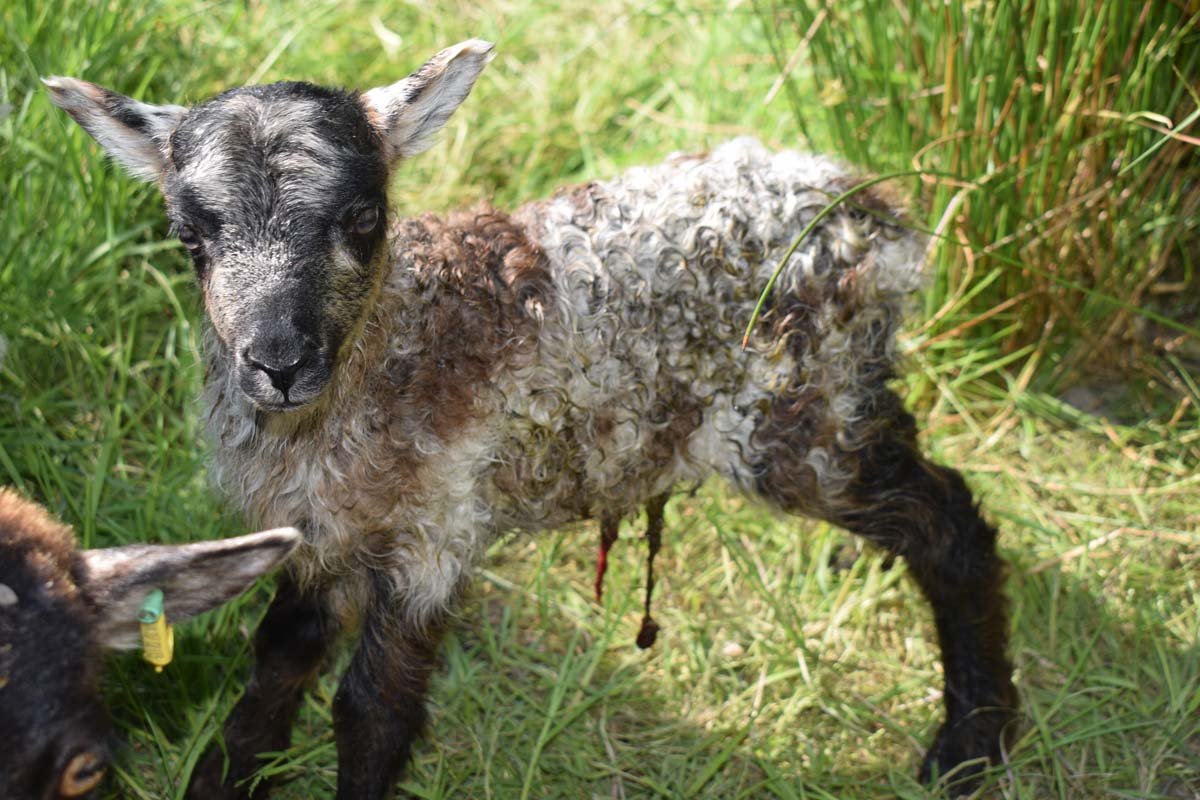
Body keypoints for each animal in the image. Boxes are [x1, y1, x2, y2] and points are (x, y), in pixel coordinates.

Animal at [45, 38, 1017, 798]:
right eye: (190, 237)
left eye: (362, 217)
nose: (278, 363)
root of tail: (872, 212)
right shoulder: (317, 530)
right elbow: (278, 658)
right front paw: (224, 778)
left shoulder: (435, 529)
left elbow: (372, 710)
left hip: (797, 418)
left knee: (950, 523)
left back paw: (973, 741)